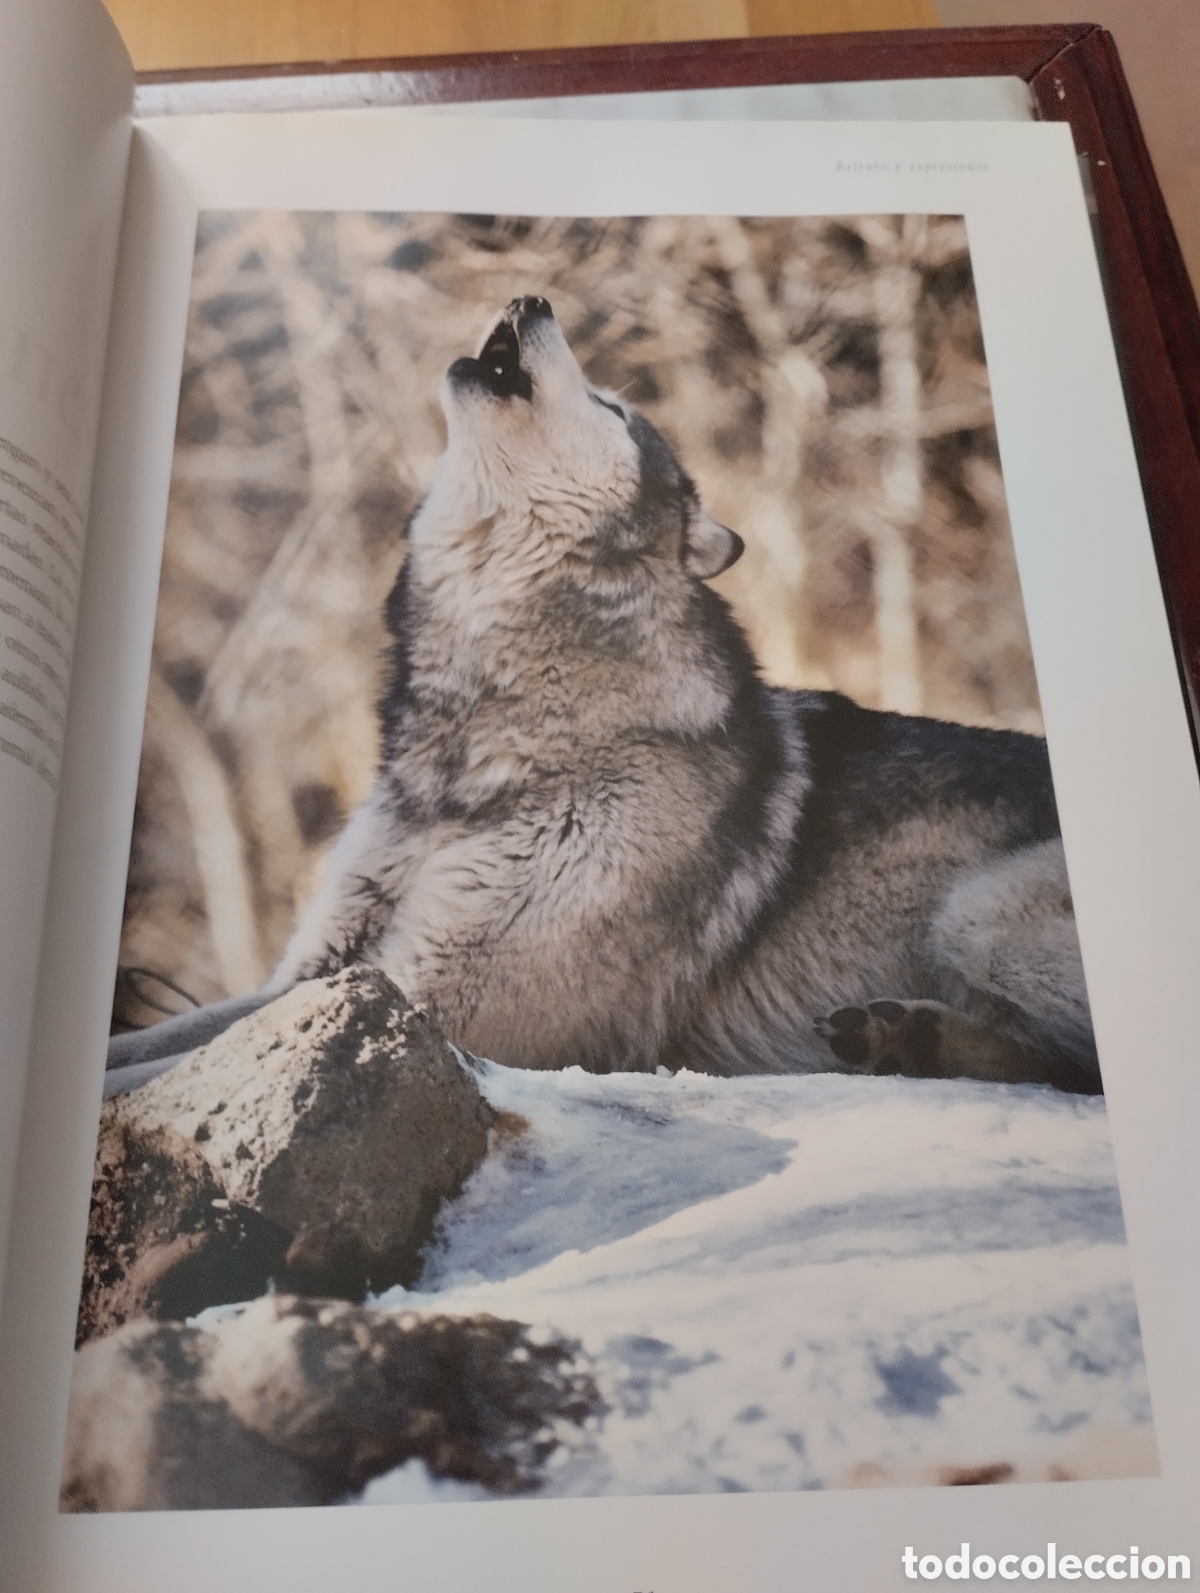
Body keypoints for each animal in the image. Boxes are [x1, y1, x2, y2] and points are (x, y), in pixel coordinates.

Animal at [108, 296, 1099, 1096]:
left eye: (614, 408)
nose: (531, 296)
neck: (472, 760)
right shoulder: (316, 974)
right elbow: (151, 1045)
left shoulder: (444, 1009)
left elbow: (166, 1069)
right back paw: (901, 1039)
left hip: (976, 917)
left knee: (1074, 1069)